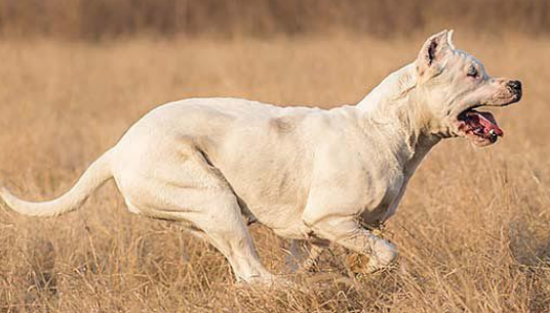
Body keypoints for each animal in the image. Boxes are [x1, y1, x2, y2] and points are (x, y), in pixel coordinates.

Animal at [0, 31, 524, 282]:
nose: (517, 83)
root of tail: (117, 149)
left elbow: (314, 254)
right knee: (254, 275)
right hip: (214, 200)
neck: (388, 128)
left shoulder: (313, 235)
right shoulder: (332, 219)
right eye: (473, 73)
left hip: (209, 217)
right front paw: (368, 273)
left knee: (245, 270)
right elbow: (385, 251)